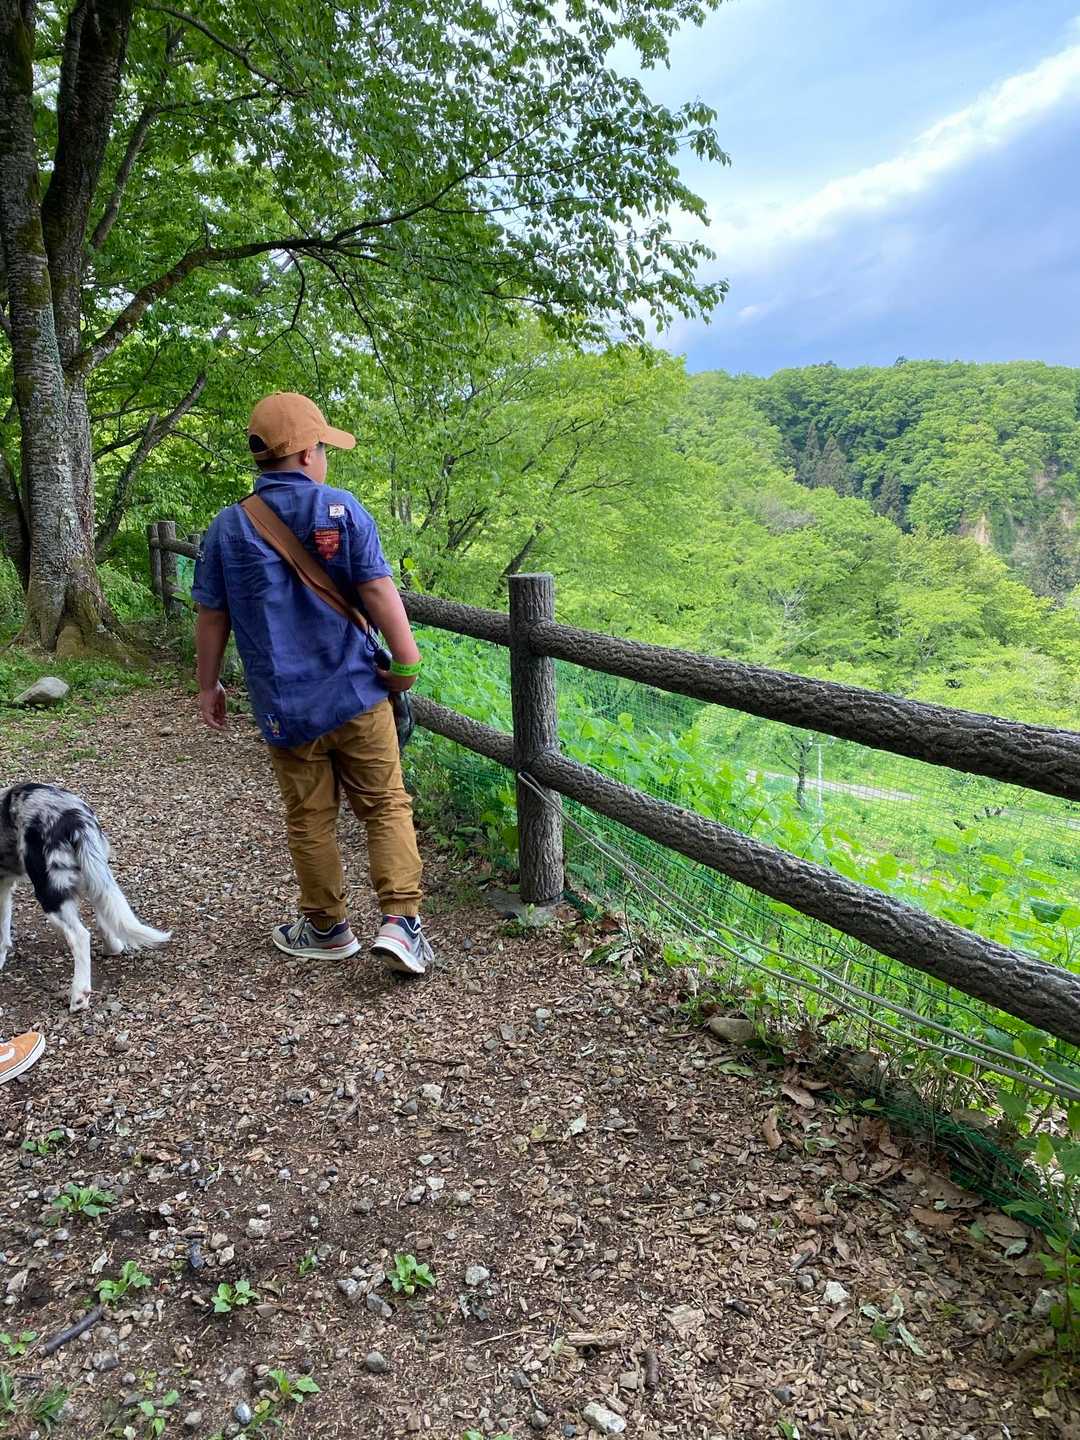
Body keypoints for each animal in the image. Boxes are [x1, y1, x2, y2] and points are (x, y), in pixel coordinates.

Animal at [0, 783, 170, 1012]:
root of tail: (73, 816)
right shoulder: (3, 886)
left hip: (50, 892)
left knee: (80, 936)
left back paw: (79, 995)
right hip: (93, 874)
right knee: (105, 914)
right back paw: (112, 947)